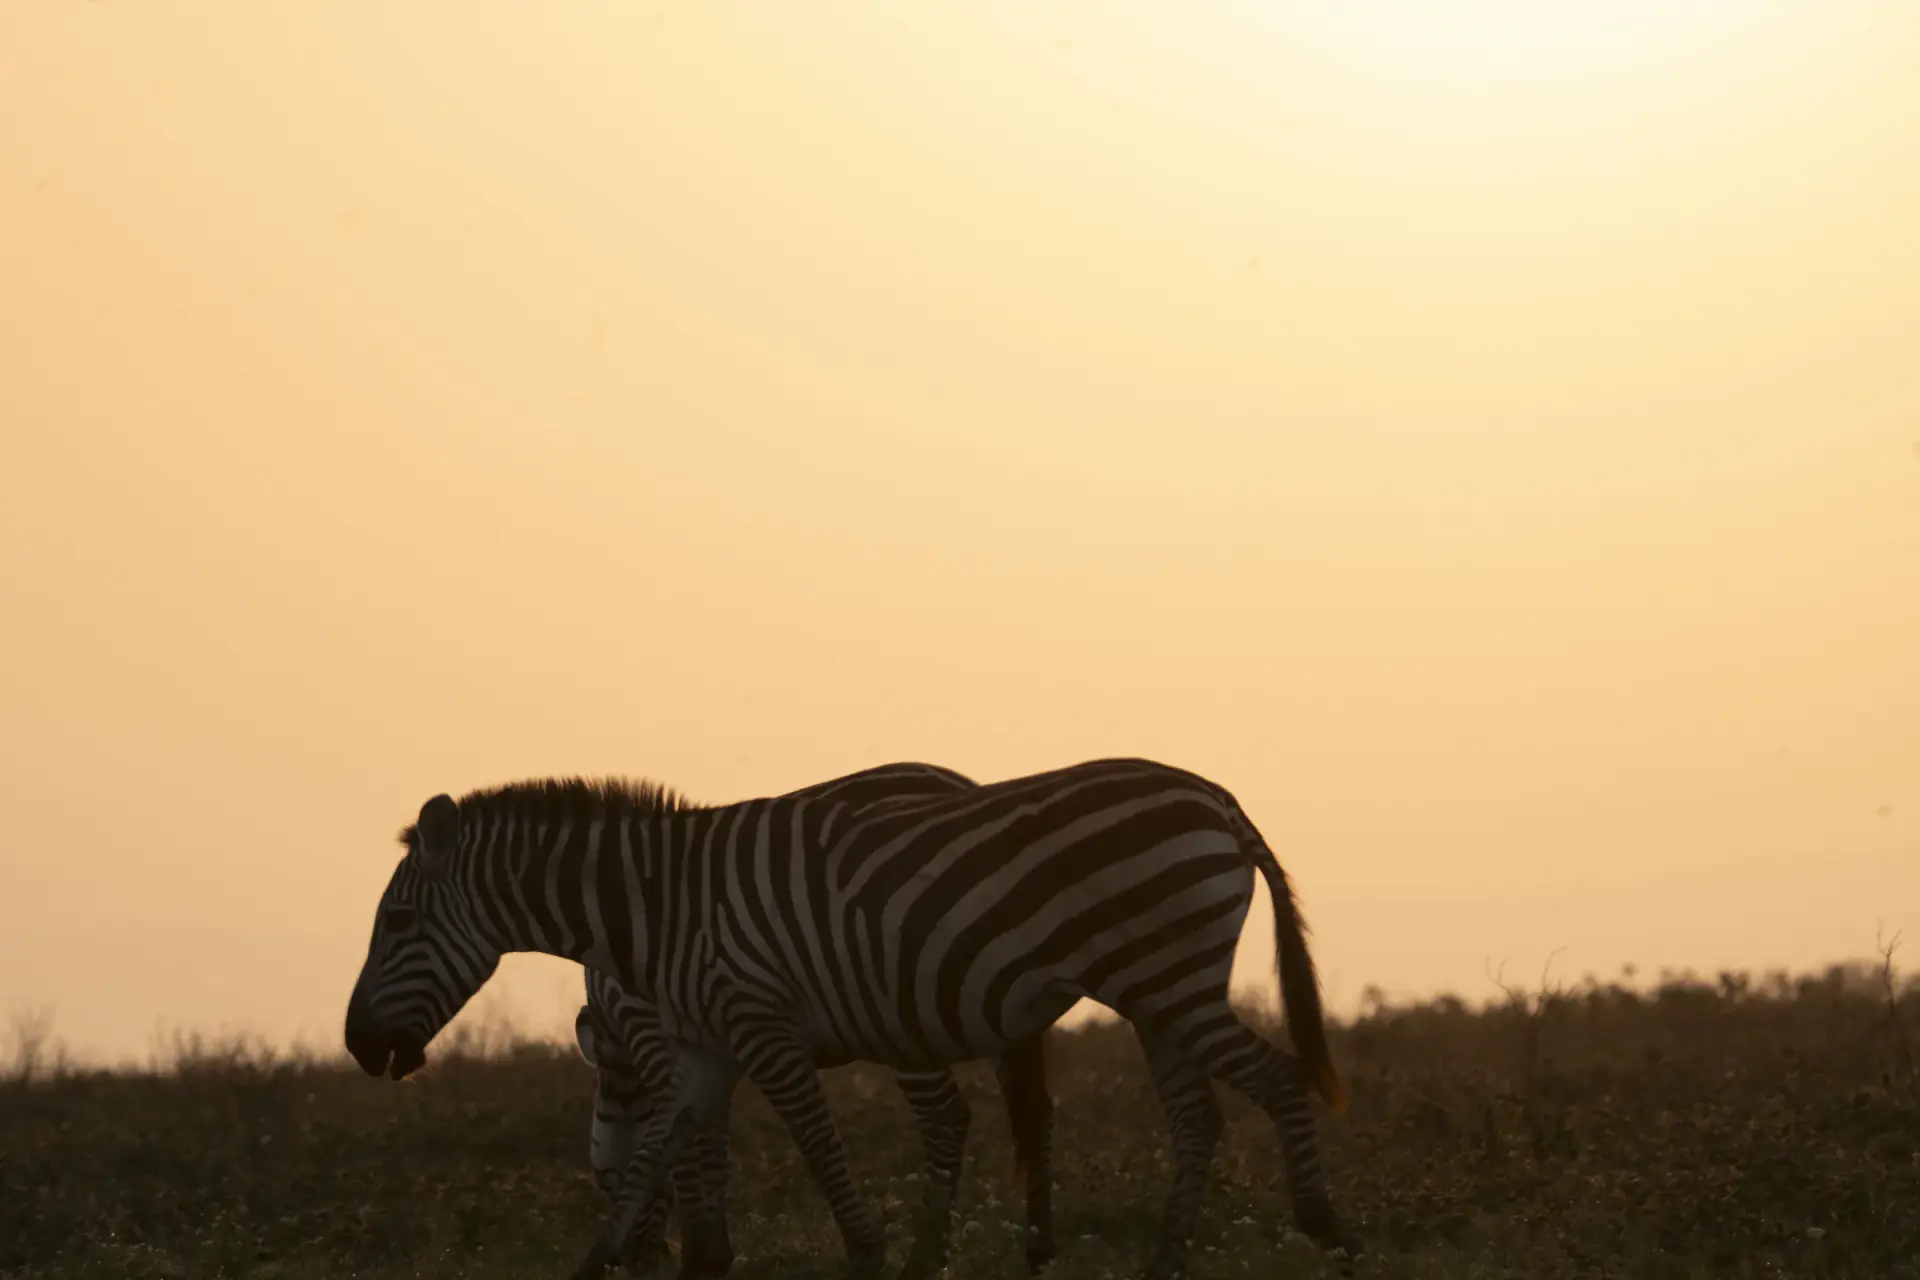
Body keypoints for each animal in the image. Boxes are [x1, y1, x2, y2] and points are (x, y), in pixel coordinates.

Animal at [344, 757, 1359, 1280]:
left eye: (396, 922)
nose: (356, 1045)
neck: (658, 906)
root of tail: (1218, 797)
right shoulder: (707, 1048)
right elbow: (659, 1156)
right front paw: (606, 1267)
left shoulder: (761, 1027)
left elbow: (813, 1148)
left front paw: (868, 1256)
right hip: (1156, 993)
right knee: (1197, 1117)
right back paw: (1162, 1261)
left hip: (1164, 976)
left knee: (1276, 1082)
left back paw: (1326, 1231)